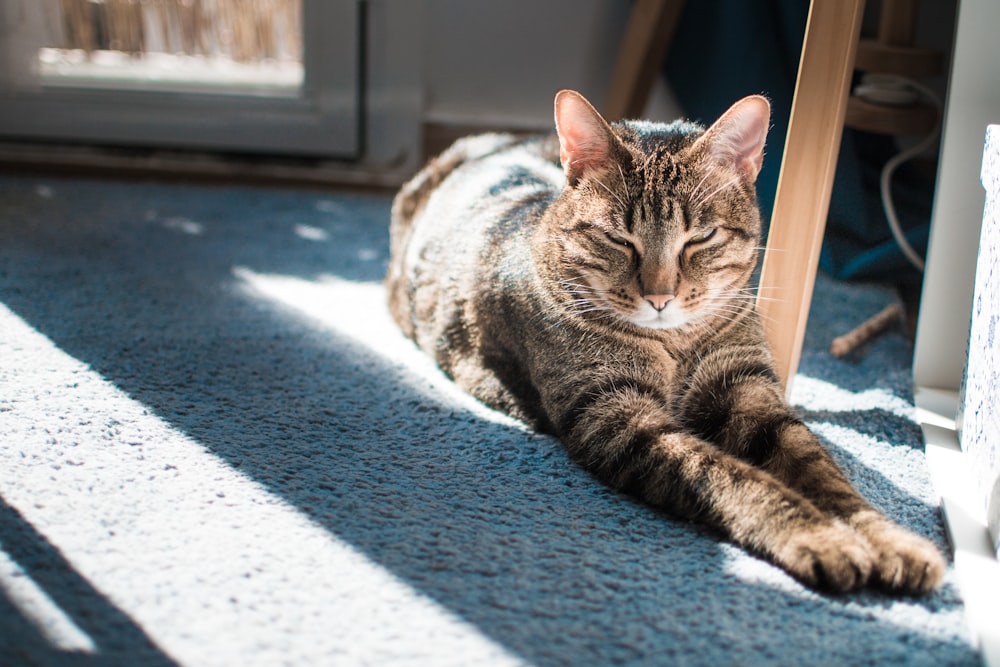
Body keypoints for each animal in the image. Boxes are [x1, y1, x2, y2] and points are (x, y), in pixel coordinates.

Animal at [384, 90, 944, 596]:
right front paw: (819, 536)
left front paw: (889, 539)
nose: (659, 296)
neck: (675, 342)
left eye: (700, 238)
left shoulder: (748, 389)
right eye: (617, 238)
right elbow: (730, 477)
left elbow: (823, 473)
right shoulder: (615, 414)